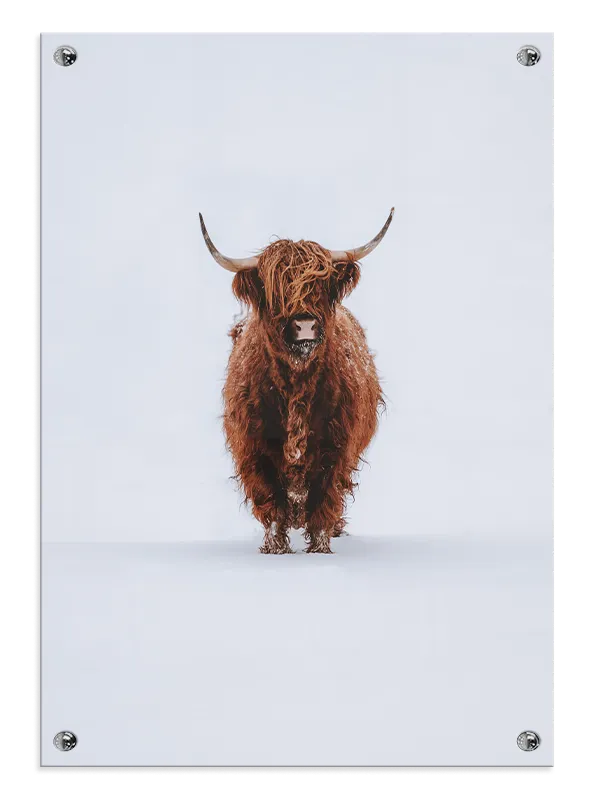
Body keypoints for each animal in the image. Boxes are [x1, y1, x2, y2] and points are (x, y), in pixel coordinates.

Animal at [199, 210, 394, 554]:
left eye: (320, 285)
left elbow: (324, 499)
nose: (304, 324)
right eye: (275, 292)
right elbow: (271, 501)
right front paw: (275, 548)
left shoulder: (336, 448)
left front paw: (320, 548)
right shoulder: (254, 449)